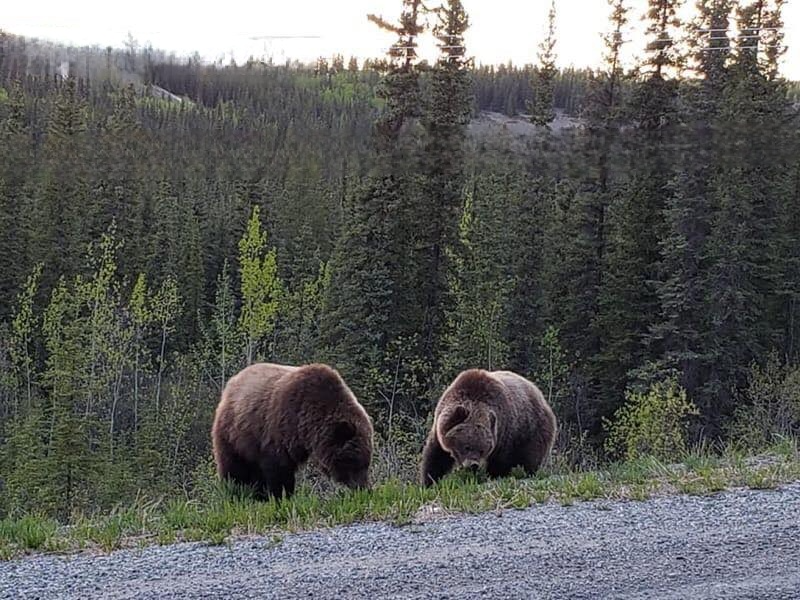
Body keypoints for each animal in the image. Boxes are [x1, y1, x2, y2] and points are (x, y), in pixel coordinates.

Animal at [211, 362, 374, 499]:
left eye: (367, 461)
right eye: (354, 460)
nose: (364, 488)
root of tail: (232, 382)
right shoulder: (281, 427)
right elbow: (279, 468)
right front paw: (281, 496)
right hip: (232, 433)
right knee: (233, 468)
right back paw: (235, 493)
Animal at [420, 369, 557, 486]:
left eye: (482, 450)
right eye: (467, 446)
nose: (473, 465)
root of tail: (542, 398)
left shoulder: (503, 431)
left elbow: (500, 460)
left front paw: (494, 476)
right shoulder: (441, 428)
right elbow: (435, 456)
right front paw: (429, 481)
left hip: (532, 428)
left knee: (532, 456)